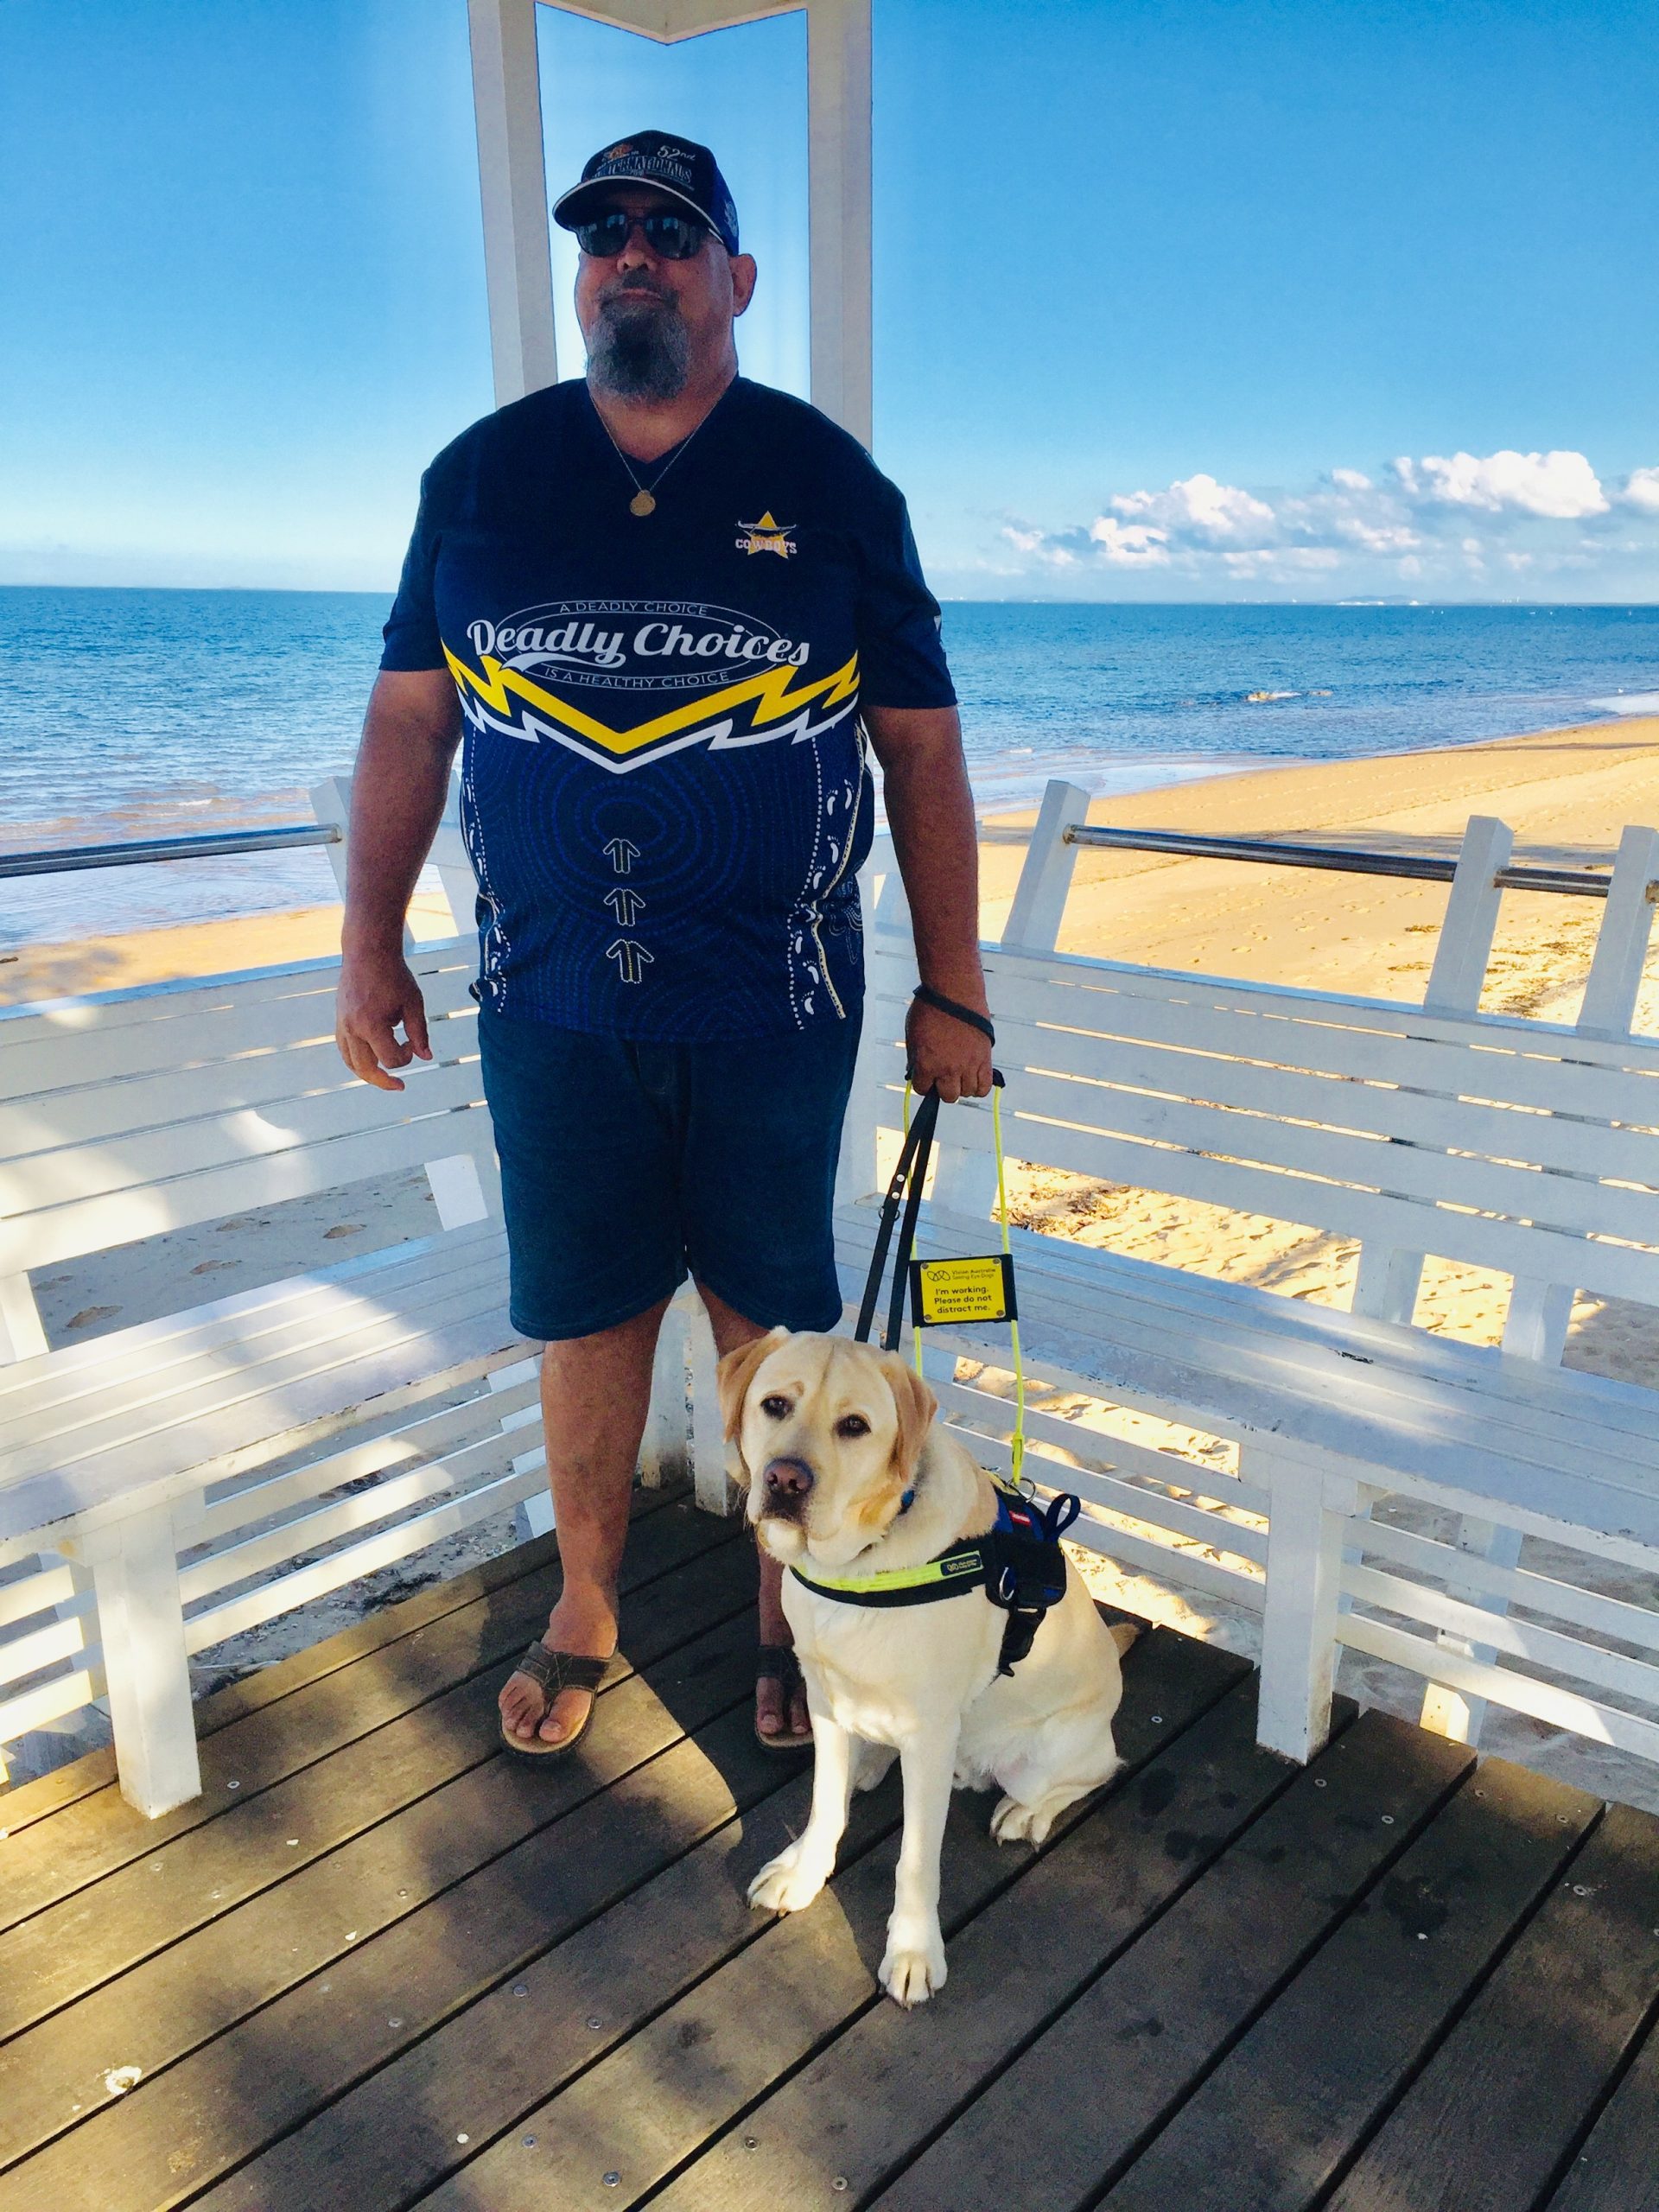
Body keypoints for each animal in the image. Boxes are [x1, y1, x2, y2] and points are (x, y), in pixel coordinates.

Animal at [721, 1327, 1141, 2008]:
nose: (785, 1479)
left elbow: (915, 1861)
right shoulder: (824, 1701)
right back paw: (869, 1762)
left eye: (855, 1426)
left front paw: (914, 1951)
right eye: (774, 1406)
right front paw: (804, 1869)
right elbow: (824, 1803)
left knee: (1095, 1772)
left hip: (1046, 1757)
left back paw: (1025, 1812)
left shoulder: (929, 1729)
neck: (859, 1564)